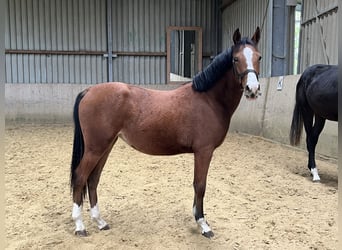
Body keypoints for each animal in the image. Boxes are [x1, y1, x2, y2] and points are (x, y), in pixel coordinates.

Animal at [69, 26, 262, 237]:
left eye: (259, 57)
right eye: (235, 58)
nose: (252, 89)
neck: (209, 99)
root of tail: (89, 91)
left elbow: (197, 185)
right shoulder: (204, 151)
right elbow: (200, 185)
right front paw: (203, 224)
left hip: (106, 146)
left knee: (93, 179)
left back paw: (100, 222)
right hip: (95, 148)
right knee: (80, 177)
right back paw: (80, 226)